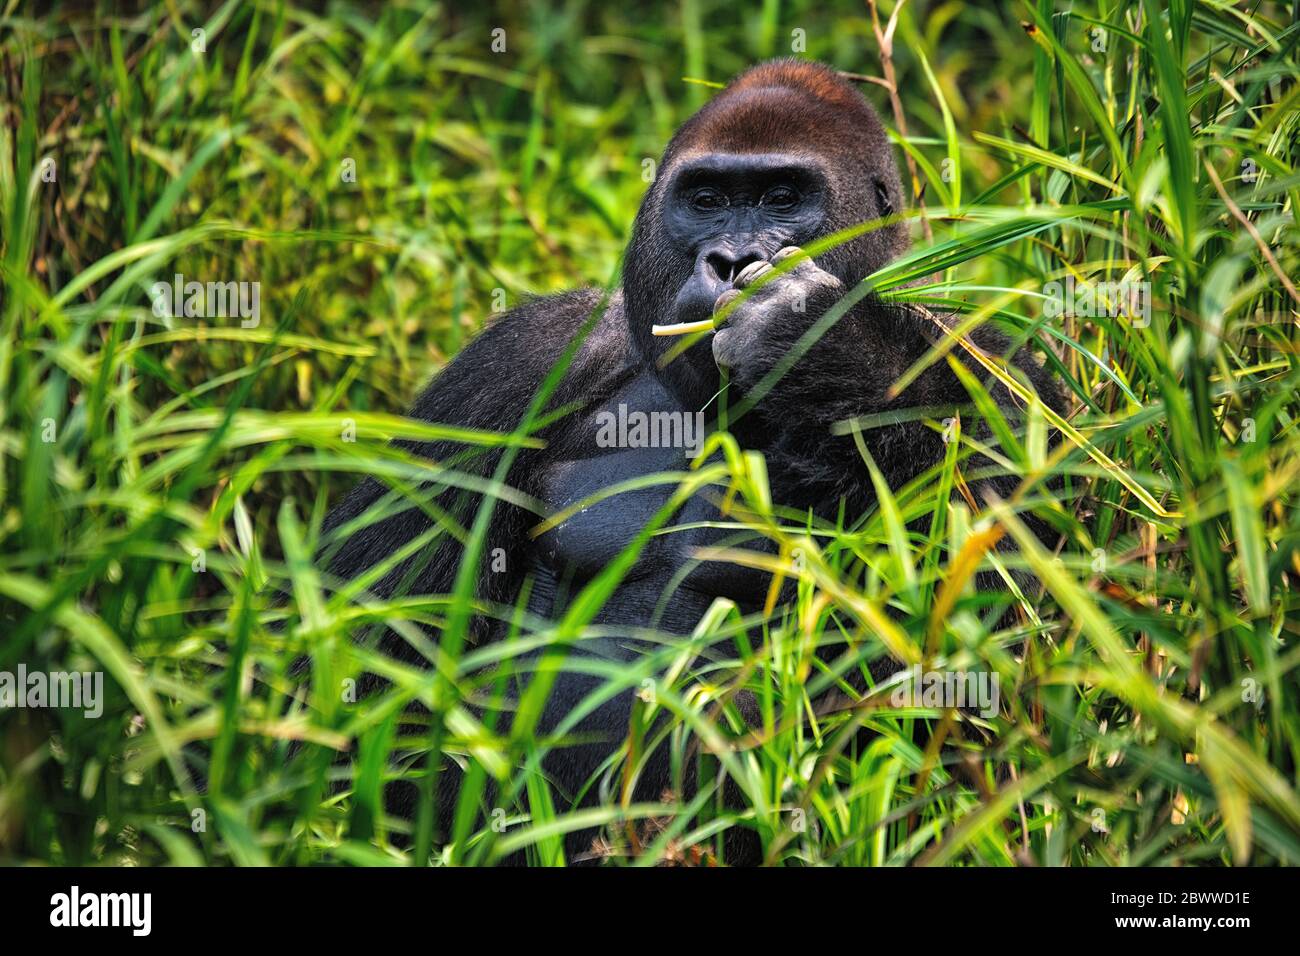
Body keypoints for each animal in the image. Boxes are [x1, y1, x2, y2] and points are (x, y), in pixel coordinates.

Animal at [319, 59, 1060, 868]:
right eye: (706, 200)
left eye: (782, 198)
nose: (733, 261)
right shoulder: (521, 359)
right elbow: (366, 647)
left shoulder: (1005, 374)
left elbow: (990, 633)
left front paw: (816, 341)